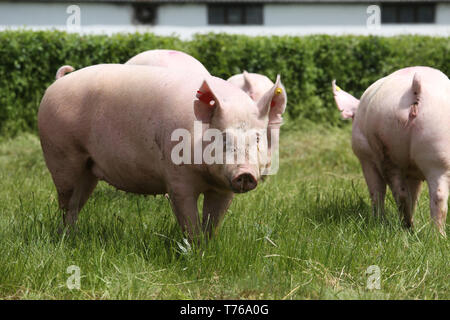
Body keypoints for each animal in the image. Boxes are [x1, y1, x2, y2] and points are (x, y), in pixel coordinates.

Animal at [38, 64, 282, 240]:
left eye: (257, 138)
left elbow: (213, 223)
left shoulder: (223, 188)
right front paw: (195, 252)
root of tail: (58, 82)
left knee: (76, 204)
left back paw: (74, 237)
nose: (245, 173)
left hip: (88, 169)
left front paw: (208, 248)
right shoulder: (178, 179)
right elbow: (189, 222)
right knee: (67, 202)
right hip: (61, 154)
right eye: (222, 136)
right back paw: (67, 239)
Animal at [332, 66, 450, 235]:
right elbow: (414, 194)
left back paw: (406, 226)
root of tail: (415, 89)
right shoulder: (412, 171)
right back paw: (434, 235)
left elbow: (376, 191)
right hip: (436, 145)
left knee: (399, 192)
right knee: (437, 195)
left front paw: (377, 221)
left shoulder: (365, 157)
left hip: (386, 142)